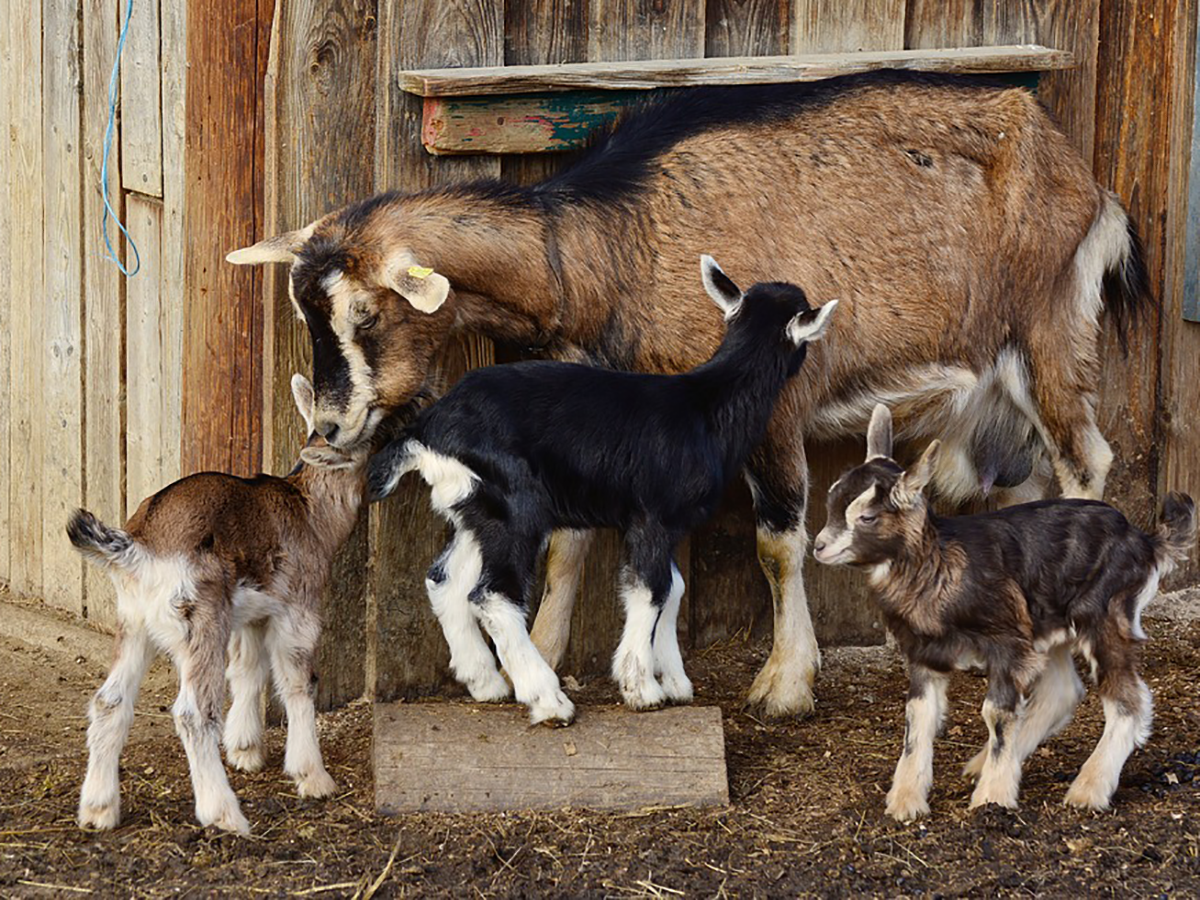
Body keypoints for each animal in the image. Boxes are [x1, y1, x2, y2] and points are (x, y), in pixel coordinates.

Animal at [69, 374, 360, 840]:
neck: (309, 510)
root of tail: (138, 548)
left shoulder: (251, 614)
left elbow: (247, 669)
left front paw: (246, 750)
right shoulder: (299, 608)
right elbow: (299, 682)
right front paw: (313, 776)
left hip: (134, 622)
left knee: (108, 701)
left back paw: (98, 809)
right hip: (200, 620)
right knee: (193, 713)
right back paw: (223, 813)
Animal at [369, 259, 840, 724]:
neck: (706, 405)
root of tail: (427, 431)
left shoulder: (662, 524)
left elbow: (674, 588)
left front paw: (674, 681)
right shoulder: (654, 517)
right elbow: (651, 589)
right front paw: (641, 688)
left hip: (476, 510)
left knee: (444, 580)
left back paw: (486, 683)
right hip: (515, 509)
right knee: (493, 595)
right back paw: (547, 700)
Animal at [811, 408, 1195, 825]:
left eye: (866, 516)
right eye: (831, 501)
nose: (819, 546)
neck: (940, 565)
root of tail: (1146, 542)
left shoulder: (1007, 643)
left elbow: (995, 713)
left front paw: (992, 798)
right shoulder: (925, 652)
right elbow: (918, 717)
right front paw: (906, 800)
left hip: (1104, 615)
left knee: (1128, 700)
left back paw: (1088, 789)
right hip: (1047, 625)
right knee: (1063, 691)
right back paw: (987, 765)